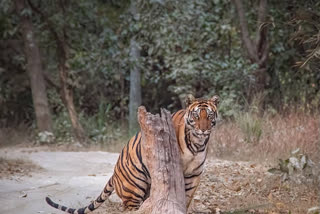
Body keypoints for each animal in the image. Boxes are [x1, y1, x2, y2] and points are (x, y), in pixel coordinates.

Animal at [45, 94, 219, 213]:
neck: (197, 144)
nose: (203, 129)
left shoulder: (193, 175)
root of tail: (114, 174)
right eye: (196, 115)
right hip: (134, 188)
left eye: (209, 115)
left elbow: (186, 199)